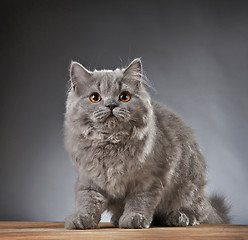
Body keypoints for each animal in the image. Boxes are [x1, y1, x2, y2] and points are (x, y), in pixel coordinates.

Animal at [63, 57, 230, 229]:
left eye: (124, 96)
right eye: (95, 97)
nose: (111, 105)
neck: (111, 142)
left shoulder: (148, 180)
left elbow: (139, 201)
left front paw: (133, 219)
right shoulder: (89, 180)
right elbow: (87, 202)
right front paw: (80, 219)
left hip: (189, 189)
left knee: (196, 213)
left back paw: (179, 217)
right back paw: (117, 218)